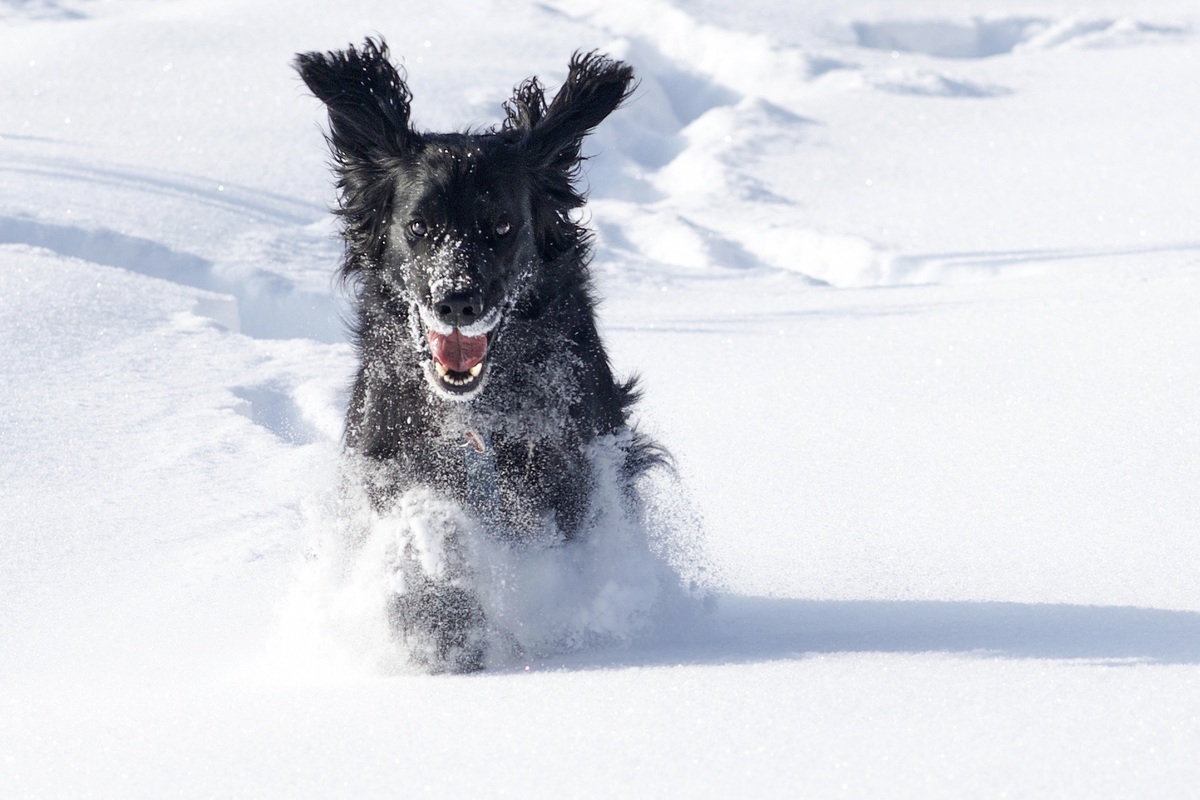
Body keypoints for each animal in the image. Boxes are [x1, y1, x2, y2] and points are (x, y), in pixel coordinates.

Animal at [294, 40, 662, 671]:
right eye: (418, 225)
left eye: (502, 225)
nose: (457, 300)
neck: (472, 415)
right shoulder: (386, 453)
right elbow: (422, 510)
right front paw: (432, 607)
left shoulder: (563, 472)